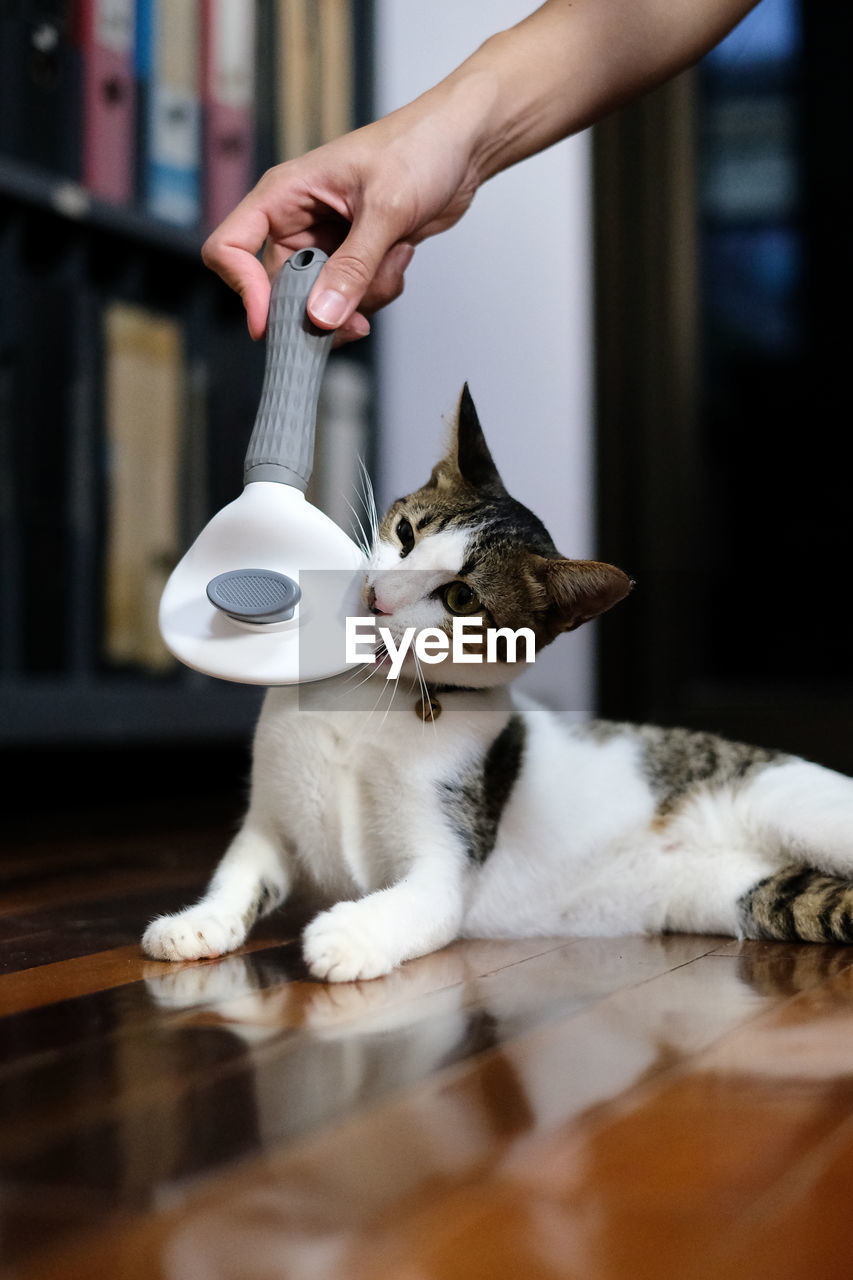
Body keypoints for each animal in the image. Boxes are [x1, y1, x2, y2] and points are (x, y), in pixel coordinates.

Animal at [140, 381, 853, 977]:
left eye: (460, 599)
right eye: (405, 532)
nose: (376, 599)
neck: (369, 698)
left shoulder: (449, 855)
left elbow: (424, 899)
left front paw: (348, 936)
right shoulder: (268, 821)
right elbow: (239, 874)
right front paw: (196, 924)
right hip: (745, 894)